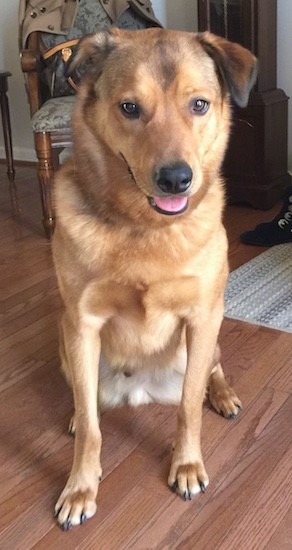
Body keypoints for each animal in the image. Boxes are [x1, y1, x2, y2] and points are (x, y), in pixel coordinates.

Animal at [53, 29, 258, 532]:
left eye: (199, 104)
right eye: (129, 107)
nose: (176, 179)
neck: (145, 228)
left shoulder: (202, 317)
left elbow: (187, 408)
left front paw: (186, 465)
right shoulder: (81, 324)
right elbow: (91, 428)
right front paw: (80, 487)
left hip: (207, 336)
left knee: (211, 370)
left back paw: (223, 395)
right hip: (64, 342)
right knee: (86, 400)